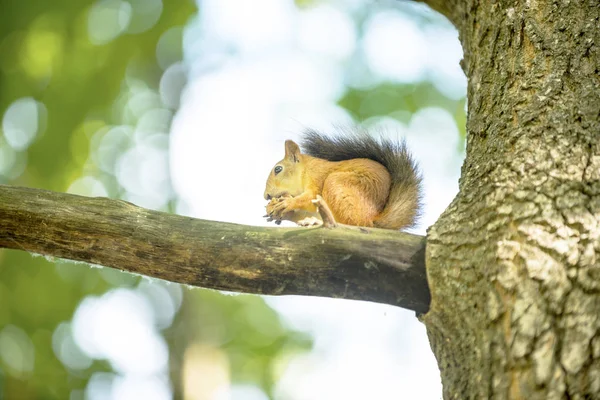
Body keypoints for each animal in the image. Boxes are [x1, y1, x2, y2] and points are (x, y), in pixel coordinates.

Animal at [262, 127, 422, 228]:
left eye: (278, 169)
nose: (266, 196)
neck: (306, 170)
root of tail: (373, 218)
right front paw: (281, 211)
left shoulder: (317, 178)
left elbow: (309, 198)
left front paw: (287, 203)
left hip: (337, 184)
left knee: (353, 223)